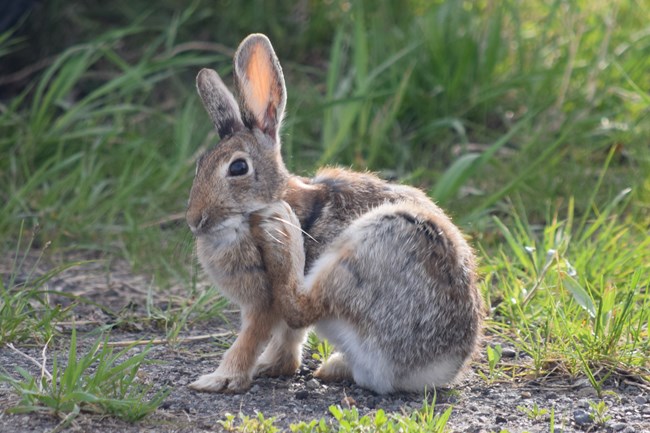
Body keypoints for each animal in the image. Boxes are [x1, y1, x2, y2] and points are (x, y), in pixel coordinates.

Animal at [186, 33, 484, 394]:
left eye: (238, 168)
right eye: (199, 165)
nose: (195, 220)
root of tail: (436, 367)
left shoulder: (262, 303)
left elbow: (253, 336)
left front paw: (219, 379)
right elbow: (288, 341)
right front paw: (272, 366)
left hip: (376, 244)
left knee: (303, 305)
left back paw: (282, 231)